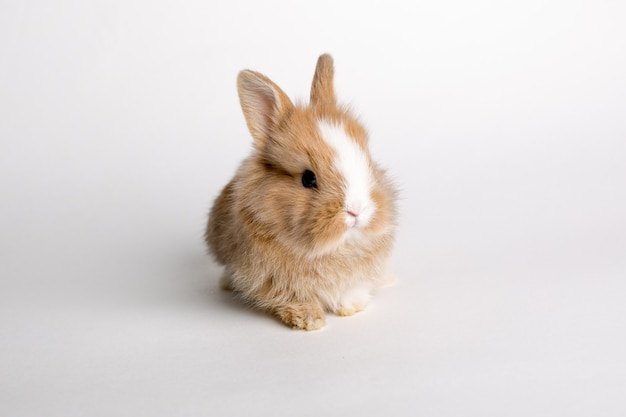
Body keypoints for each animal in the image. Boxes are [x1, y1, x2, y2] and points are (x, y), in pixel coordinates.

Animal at [205, 53, 394, 330]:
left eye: (368, 162)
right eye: (308, 178)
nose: (356, 210)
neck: (334, 248)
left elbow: (352, 290)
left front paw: (351, 307)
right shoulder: (273, 279)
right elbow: (293, 298)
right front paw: (309, 321)